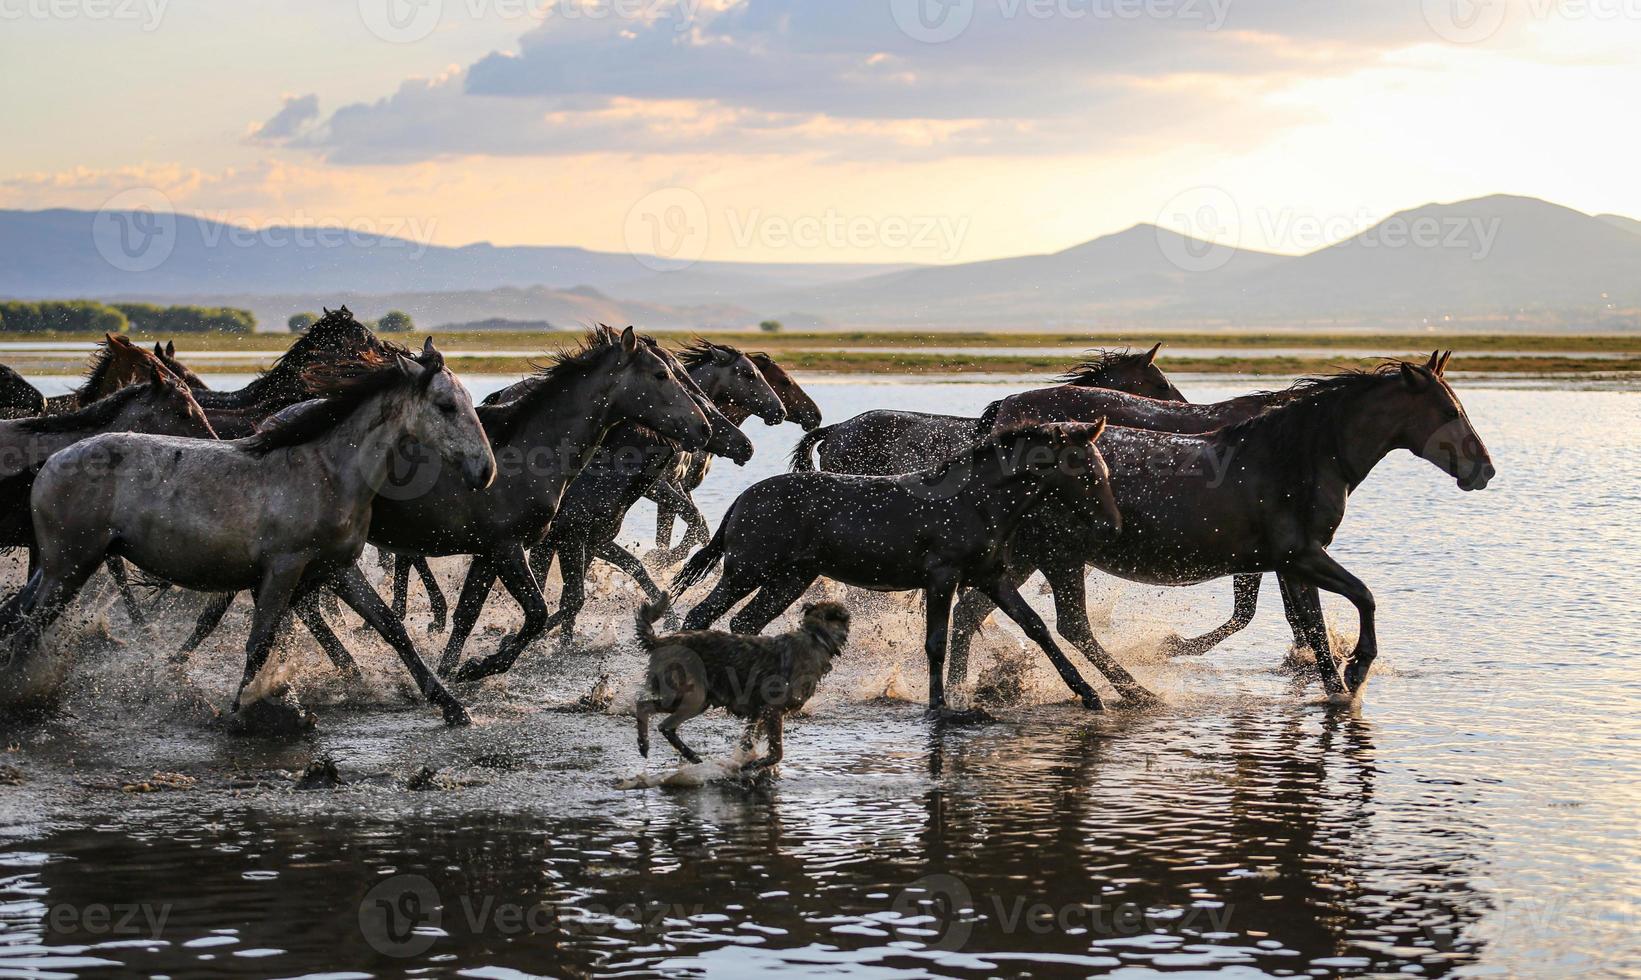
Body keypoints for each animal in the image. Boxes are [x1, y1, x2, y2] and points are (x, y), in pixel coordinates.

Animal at [633, 590, 853, 768]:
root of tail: (661, 641)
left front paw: (745, 760)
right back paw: (646, 744)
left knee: (665, 725)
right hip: (692, 697)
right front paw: (757, 764)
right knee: (647, 709)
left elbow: (749, 740)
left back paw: (690, 756)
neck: (816, 637)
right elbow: (777, 752)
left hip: (696, 700)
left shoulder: (759, 712)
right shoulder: (773, 709)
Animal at [672, 418, 1122, 712]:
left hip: (789, 580)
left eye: (1103, 467)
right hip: (745, 572)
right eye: (1084, 471)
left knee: (744, 622)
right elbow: (936, 642)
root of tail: (742, 500)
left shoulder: (991, 577)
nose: (1111, 526)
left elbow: (1037, 627)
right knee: (700, 616)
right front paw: (939, 706)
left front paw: (1090, 694)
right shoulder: (942, 578)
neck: (974, 501)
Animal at [945, 356, 1496, 699]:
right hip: (1056, 555)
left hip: (1026, 556)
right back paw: (1136, 694)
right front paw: (1356, 669)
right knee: (1066, 625)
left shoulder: (1290, 564)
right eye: (1449, 410)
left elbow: (1310, 625)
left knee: (973, 614)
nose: (1484, 470)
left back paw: (958, 689)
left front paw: (1336, 685)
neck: (1297, 456)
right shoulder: (1301, 556)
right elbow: (1360, 597)